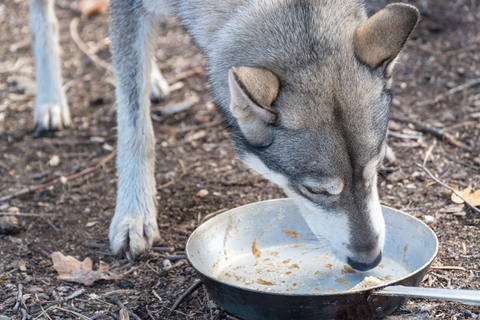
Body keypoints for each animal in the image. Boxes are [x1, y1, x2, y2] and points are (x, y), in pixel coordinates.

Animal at [109, 0, 420, 270]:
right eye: (315, 190)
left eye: (375, 171)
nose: (369, 261)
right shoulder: (128, 8)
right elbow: (135, 127)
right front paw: (134, 215)